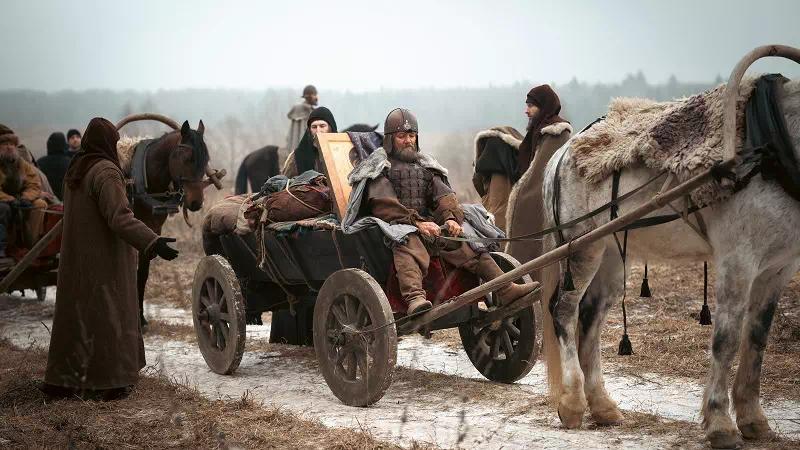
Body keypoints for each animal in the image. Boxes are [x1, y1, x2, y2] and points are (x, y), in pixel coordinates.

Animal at [115, 114, 225, 328]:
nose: (195, 202)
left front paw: (141, 318)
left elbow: (142, 273)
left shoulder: (152, 230)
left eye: (205, 160)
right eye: (186, 158)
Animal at [536, 73, 800, 446]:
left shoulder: (779, 267)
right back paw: (573, 402)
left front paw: (753, 419)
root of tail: (560, 155)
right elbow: (727, 338)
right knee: (563, 309)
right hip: (581, 247)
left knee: (590, 316)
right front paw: (720, 422)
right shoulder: (738, 260)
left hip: (612, 254)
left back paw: (601, 405)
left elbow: (757, 338)